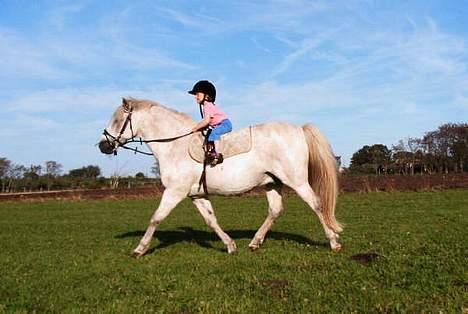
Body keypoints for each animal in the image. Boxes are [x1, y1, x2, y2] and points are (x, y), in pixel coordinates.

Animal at [98, 98, 342, 258]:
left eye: (117, 120)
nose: (103, 145)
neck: (175, 144)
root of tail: (299, 129)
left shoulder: (175, 192)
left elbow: (156, 218)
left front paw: (139, 249)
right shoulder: (196, 195)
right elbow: (211, 220)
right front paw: (230, 245)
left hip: (297, 182)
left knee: (316, 205)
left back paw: (333, 242)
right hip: (272, 183)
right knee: (275, 210)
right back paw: (254, 243)